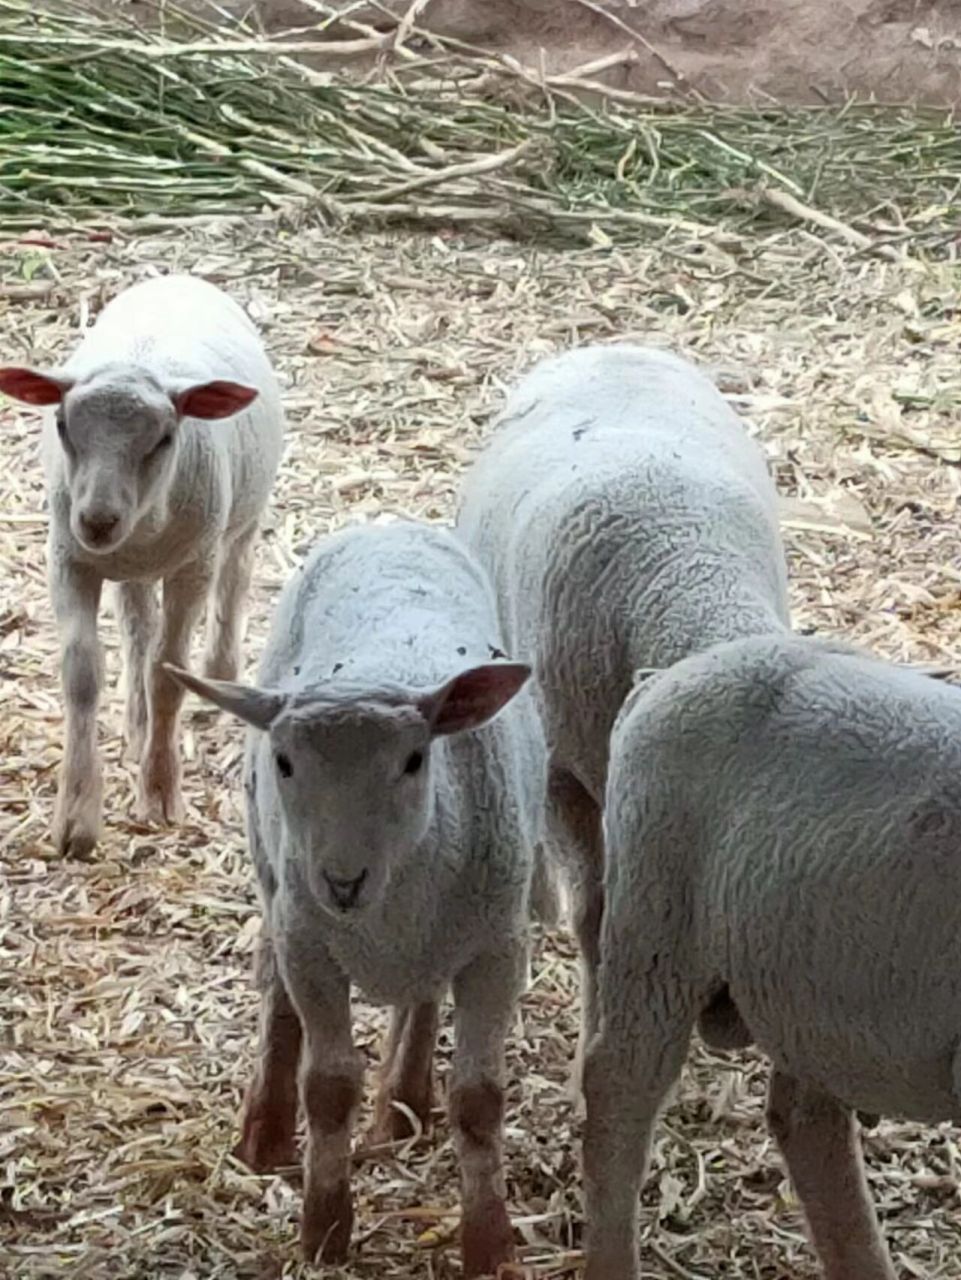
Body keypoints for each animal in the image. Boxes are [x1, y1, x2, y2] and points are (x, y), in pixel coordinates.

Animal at [0, 280, 284, 860]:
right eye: (61, 425)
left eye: (164, 438)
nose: (97, 519)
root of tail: (175, 277)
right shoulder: (68, 558)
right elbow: (83, 672)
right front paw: (76, 819)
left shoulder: (193, 565)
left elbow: (167, 670)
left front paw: (159, 793)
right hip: (127, 567)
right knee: (136, 627)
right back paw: (137, 723)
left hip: (241, 519)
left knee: (235, 578)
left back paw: (219, 672)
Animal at [167, 514, 545, 1274]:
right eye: (285, 761)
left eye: (414, 759)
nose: (342, 880)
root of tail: (389, 525)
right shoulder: (309, 944)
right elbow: (329, 1085)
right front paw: (324, 1228)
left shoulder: (497, 948)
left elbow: (479, 1101)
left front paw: (490, 1244)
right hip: (276, 886)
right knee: (277, 995)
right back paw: (267, 1128)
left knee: (422, 994)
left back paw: (402, 1102)